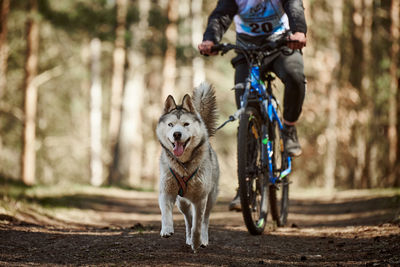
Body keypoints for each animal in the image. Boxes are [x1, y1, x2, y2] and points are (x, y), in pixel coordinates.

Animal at [155, 82, 219, 253]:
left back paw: (202, 239)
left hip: (210, 198)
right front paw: (166, 229)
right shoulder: (166, 191)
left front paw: (197, 242)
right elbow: (166, 213)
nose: (177, 134)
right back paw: (189, 238)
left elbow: (198, 224)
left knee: (204, 221)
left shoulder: (200, 199)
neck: (183, 166)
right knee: (188, 219)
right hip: (182, 202)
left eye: (186, 124)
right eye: (170, 124)